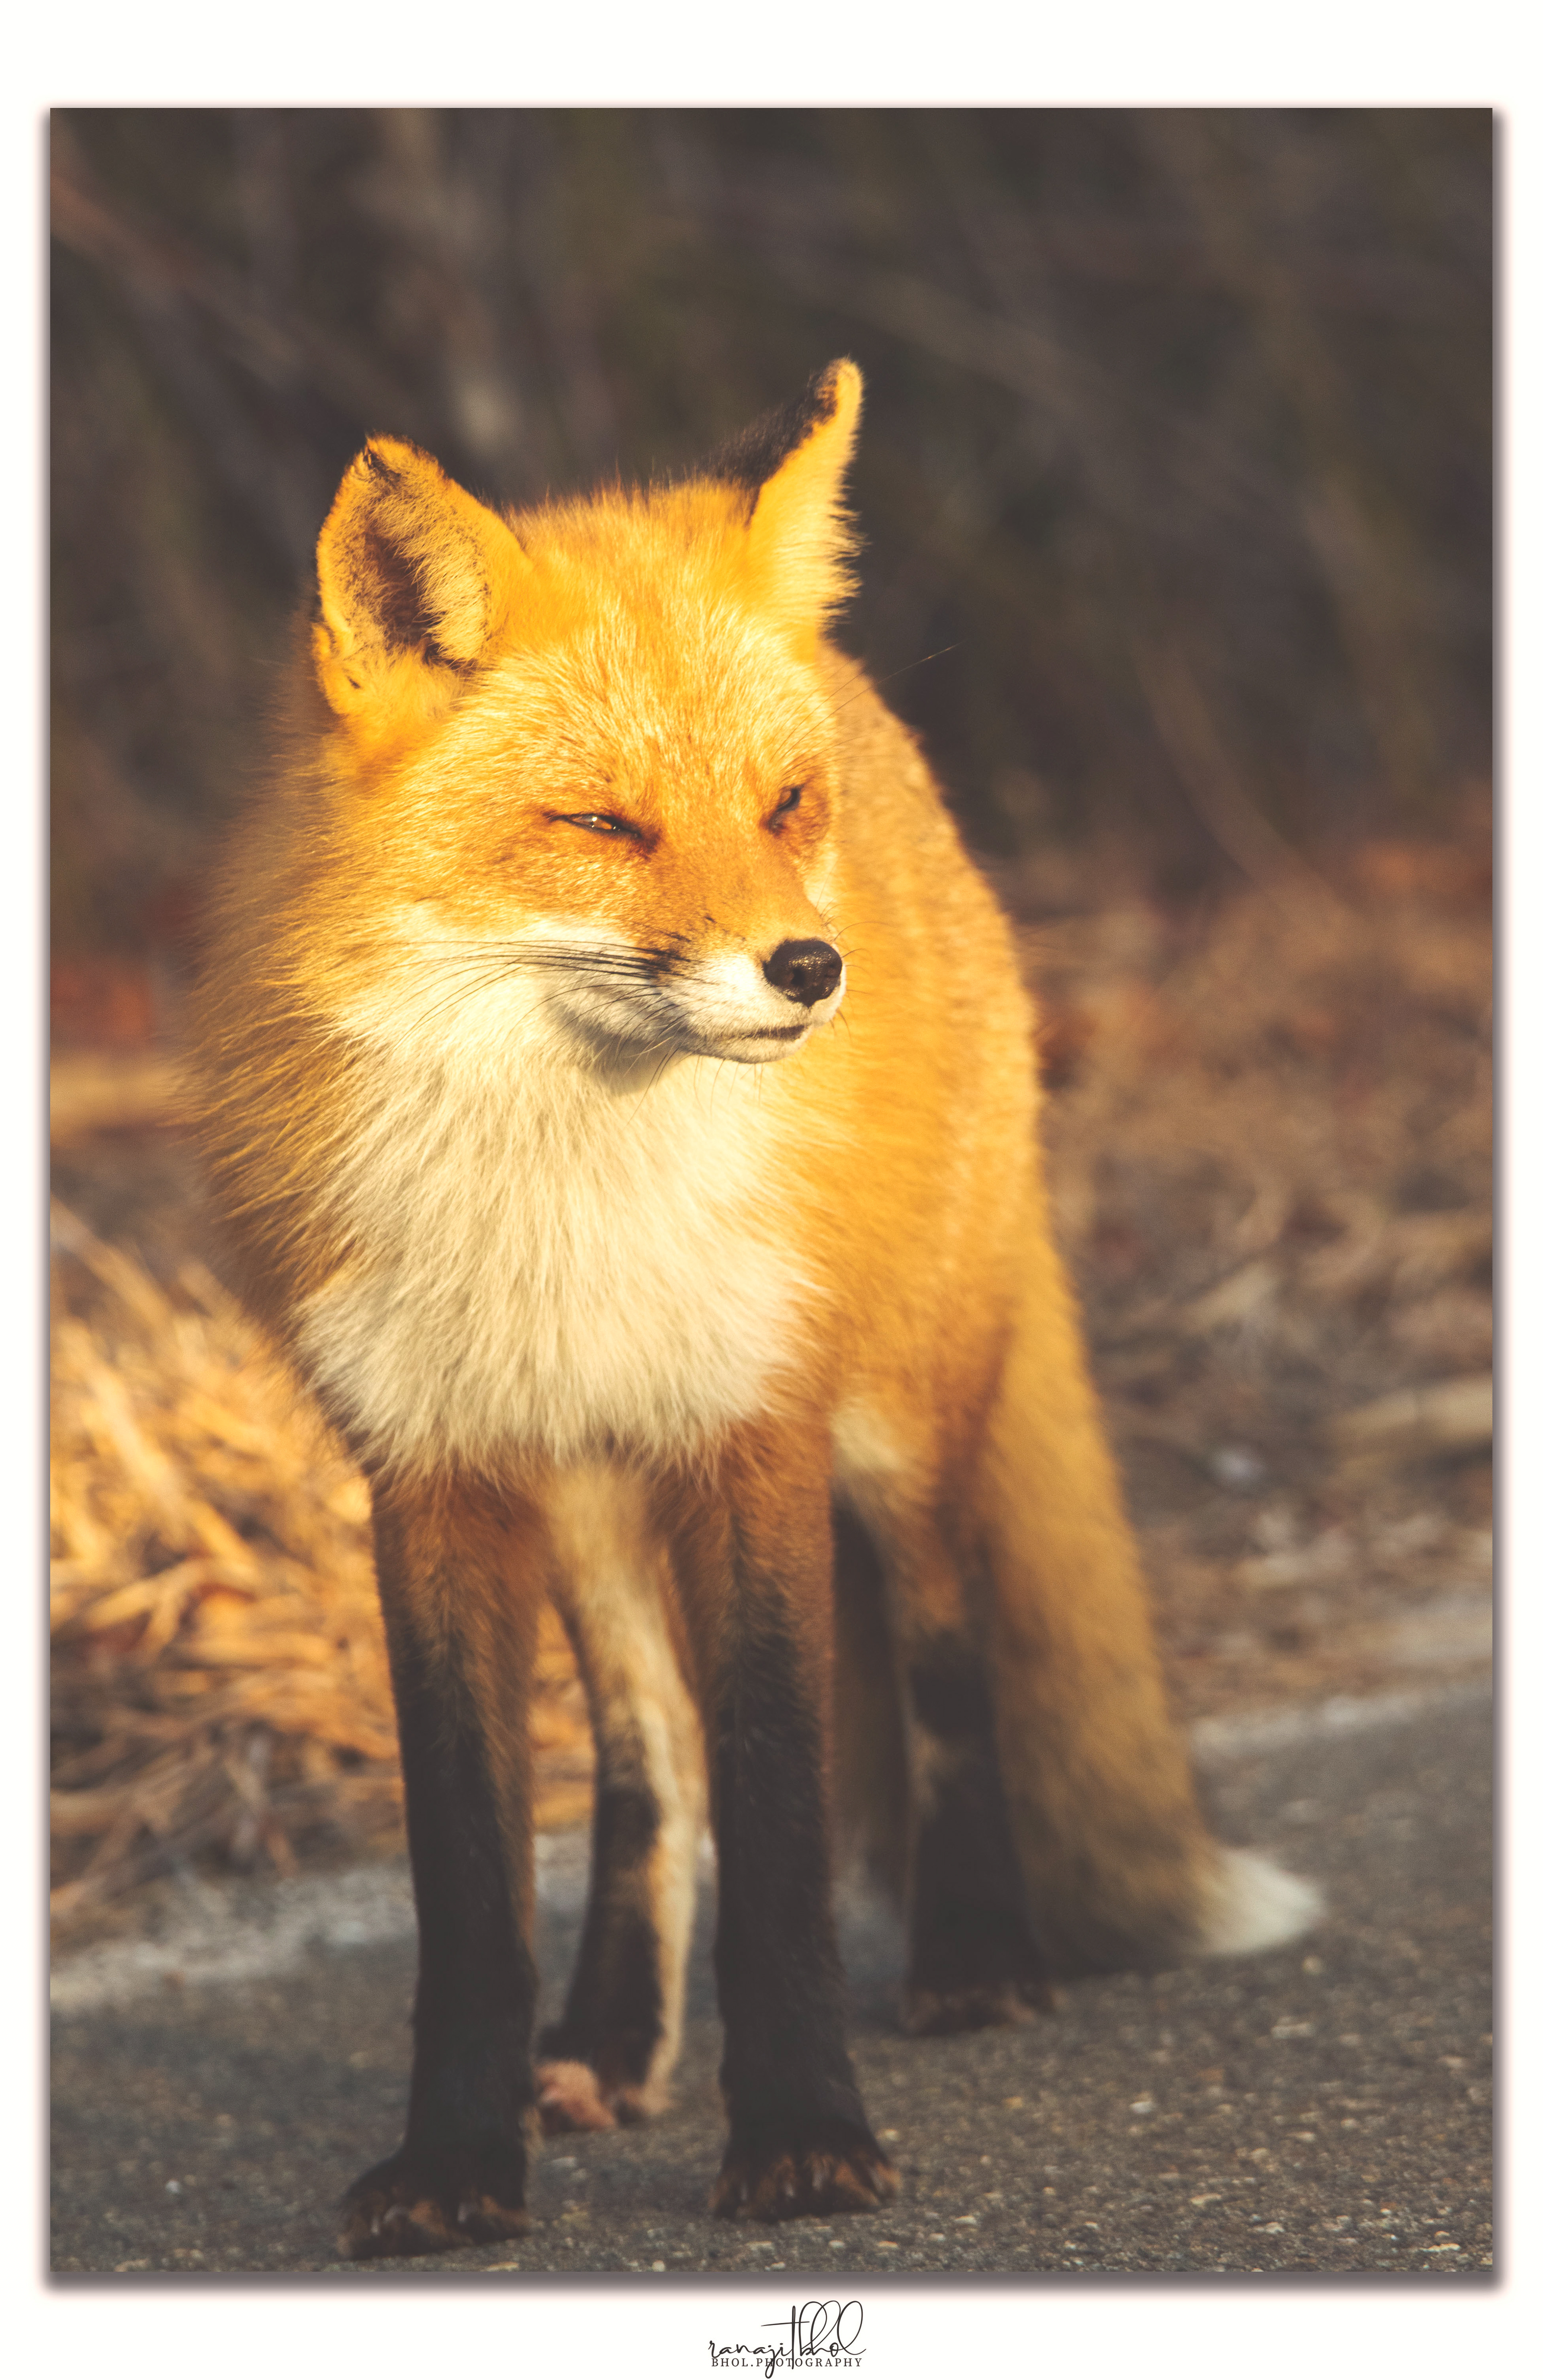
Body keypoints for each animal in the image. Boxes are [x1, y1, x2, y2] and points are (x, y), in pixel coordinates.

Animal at [191, 359, 1319, 2261]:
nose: (809, 970)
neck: (563, 1178)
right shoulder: (430, 1474)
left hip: (895, 1420)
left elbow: (786, 1825)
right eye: (600, 823)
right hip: (587, 1485)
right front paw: (458, 2159)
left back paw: (973, 1958)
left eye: (779, 805)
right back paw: (604, 2045)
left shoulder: (754, 1434)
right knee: (651, 1762)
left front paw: (801, 2134)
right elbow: (474, 1884)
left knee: (940, 1658)